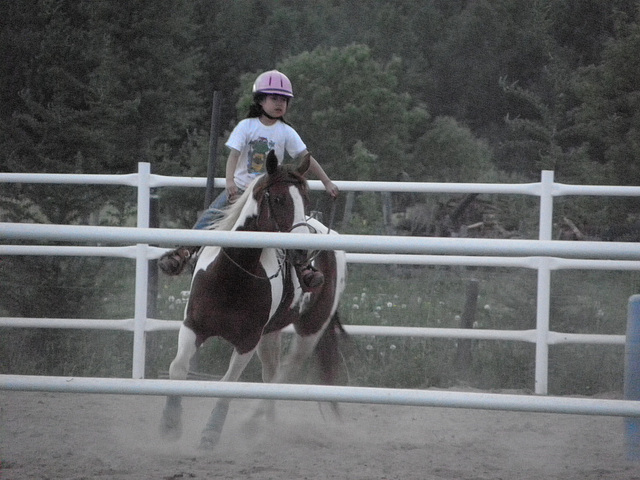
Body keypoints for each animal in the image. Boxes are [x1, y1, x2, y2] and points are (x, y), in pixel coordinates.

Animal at [161, 151, 350, 450]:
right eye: (279, 199)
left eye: (306, 200)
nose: (304, 252)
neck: (232, 277)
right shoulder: (193, 325)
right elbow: (178, 369)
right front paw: (170, 425)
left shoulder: (247, 341)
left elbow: (229, 383)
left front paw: (210, 433)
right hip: (270, 333)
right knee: (271, 372)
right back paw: (266, 424)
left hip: (312, 328)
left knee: (284, 373)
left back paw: (251, 421)